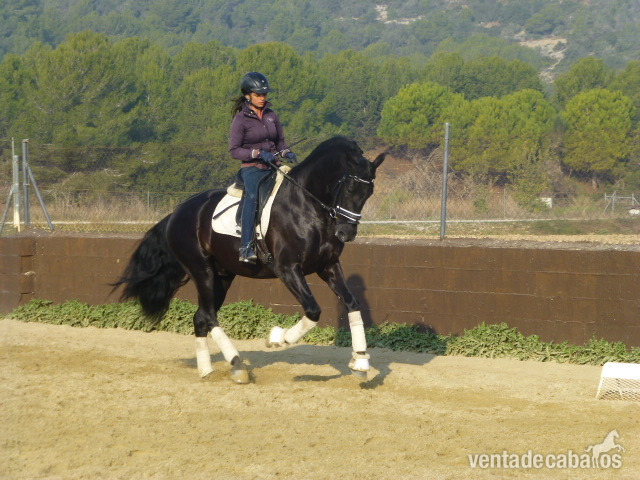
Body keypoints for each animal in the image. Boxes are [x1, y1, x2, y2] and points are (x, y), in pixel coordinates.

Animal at [114, 136, 386, 383]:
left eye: (369, 192)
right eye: (349, 189)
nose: (346, 233)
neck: (307, 206)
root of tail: (176, 213)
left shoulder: (328, 266)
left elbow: (352, 304)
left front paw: (360, 362)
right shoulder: (288, 269)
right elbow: (313, 310)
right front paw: (277, 337)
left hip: (222, 275)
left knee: (201, 317)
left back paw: (207, 370)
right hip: (202, 271)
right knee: (209, 315)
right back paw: (236, 365)